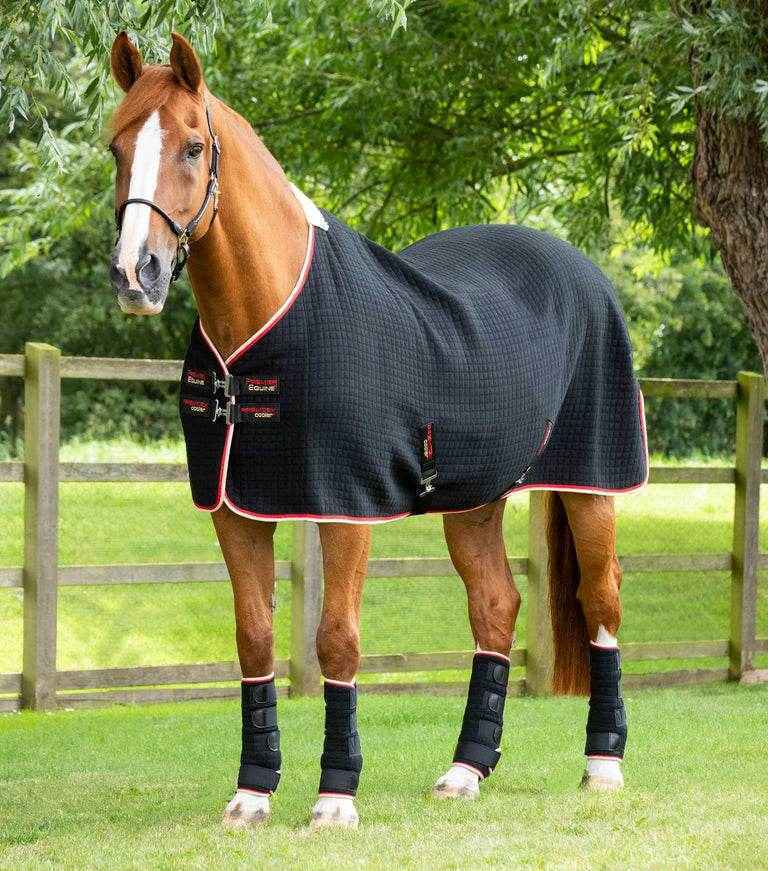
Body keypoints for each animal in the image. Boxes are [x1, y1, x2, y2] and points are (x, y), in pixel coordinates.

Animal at [107, 32, 647, 829]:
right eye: (117, 147)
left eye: (194, 147)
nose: (135, 275)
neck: (269, 318)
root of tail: (576, 266)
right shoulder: (234, 508)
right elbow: (254, 638)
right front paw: (252, 791)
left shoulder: (345, 505)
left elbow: (337, 639)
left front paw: (335, 797)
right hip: (473, 499)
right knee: (495, 608)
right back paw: (464, 769)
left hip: (592, 484)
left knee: (601, 600)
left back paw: (604, 764)